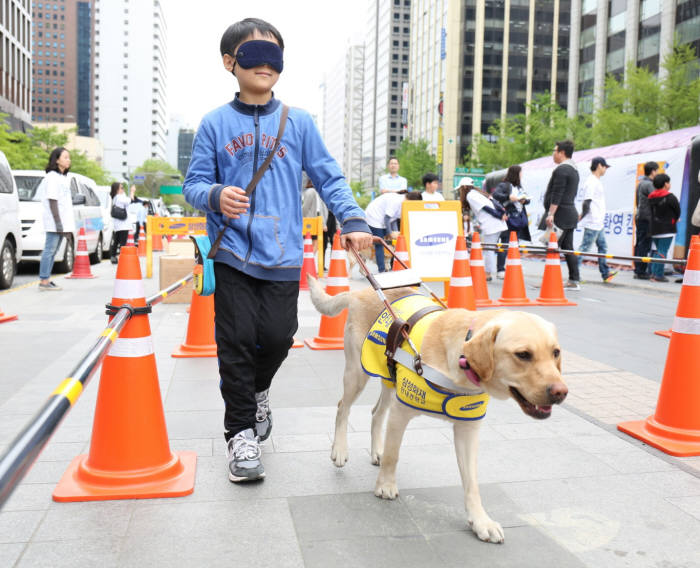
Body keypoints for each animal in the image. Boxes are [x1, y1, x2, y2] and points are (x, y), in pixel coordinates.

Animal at [308, 278, 568, 544]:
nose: (561, 392)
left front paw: (480, 521)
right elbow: (393, 454)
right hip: (357, 374)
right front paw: (386, 485)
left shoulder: (467, 429)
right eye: (523, 354)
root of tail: (361, 292)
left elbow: (472, 482)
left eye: (556, 352)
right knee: (343, 407)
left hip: (389, 378)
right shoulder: (401, 413)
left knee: (376, 413)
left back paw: (376, 450)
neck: (461, 363)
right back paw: (340, 450)